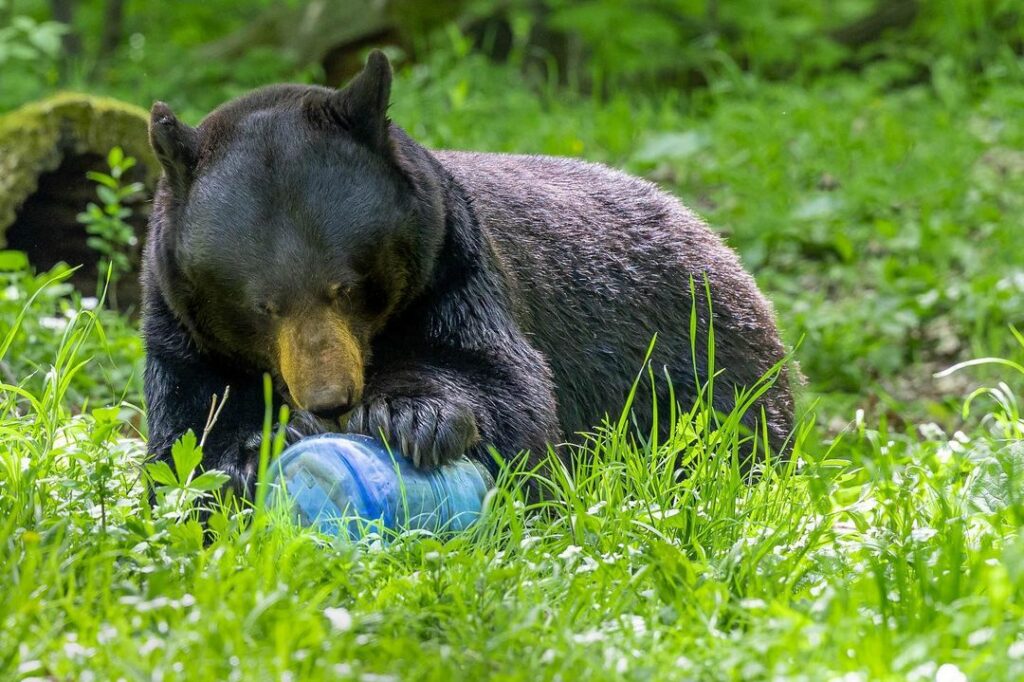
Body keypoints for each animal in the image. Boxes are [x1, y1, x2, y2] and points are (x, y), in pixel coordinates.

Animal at [141, 50, 796, 493]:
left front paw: (411, 416)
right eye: (262, 305)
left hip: (706, 365)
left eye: (346, 288)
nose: (331, 401)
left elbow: (502, 382)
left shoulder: (454, 267)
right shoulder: (180, 329)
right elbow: (186, 432)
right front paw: (251, 455)